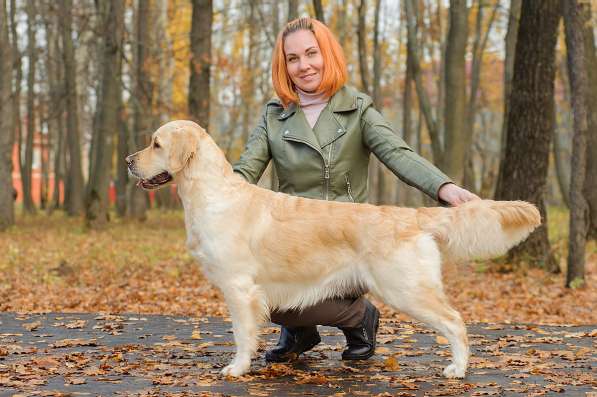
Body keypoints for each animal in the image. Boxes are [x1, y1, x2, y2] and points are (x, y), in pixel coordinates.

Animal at [125, 120, 540, 378]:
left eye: (156, 144)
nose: (129, 161)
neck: (211, 194)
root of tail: (410, 215)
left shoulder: (240, 288)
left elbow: (242, 333)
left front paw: (237, 368)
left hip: (407, 289)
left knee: (455, 322)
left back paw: (458, 369)